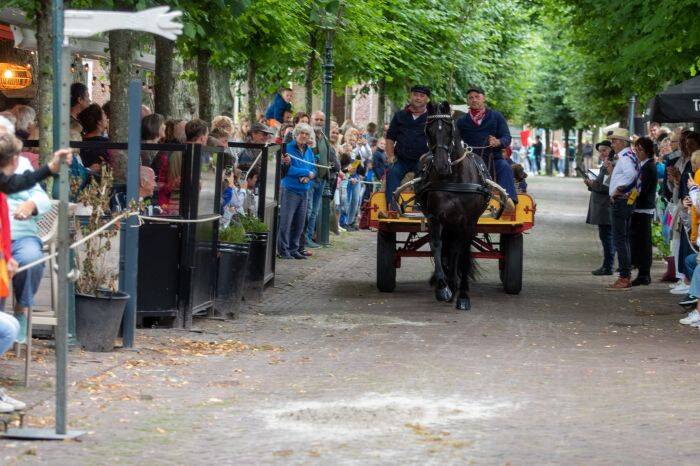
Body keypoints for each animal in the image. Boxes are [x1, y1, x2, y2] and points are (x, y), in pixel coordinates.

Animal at [416, 101, 492, 310]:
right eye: (428, 130)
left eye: (450, 129)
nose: (441, 165)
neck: (454, 178)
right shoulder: (435, 218)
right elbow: (437, 247)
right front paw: (443, 288)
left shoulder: (468, 222)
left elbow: (463, 254)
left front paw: (463, 296)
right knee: (449, 250)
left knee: (456, 250)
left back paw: (455, 283)